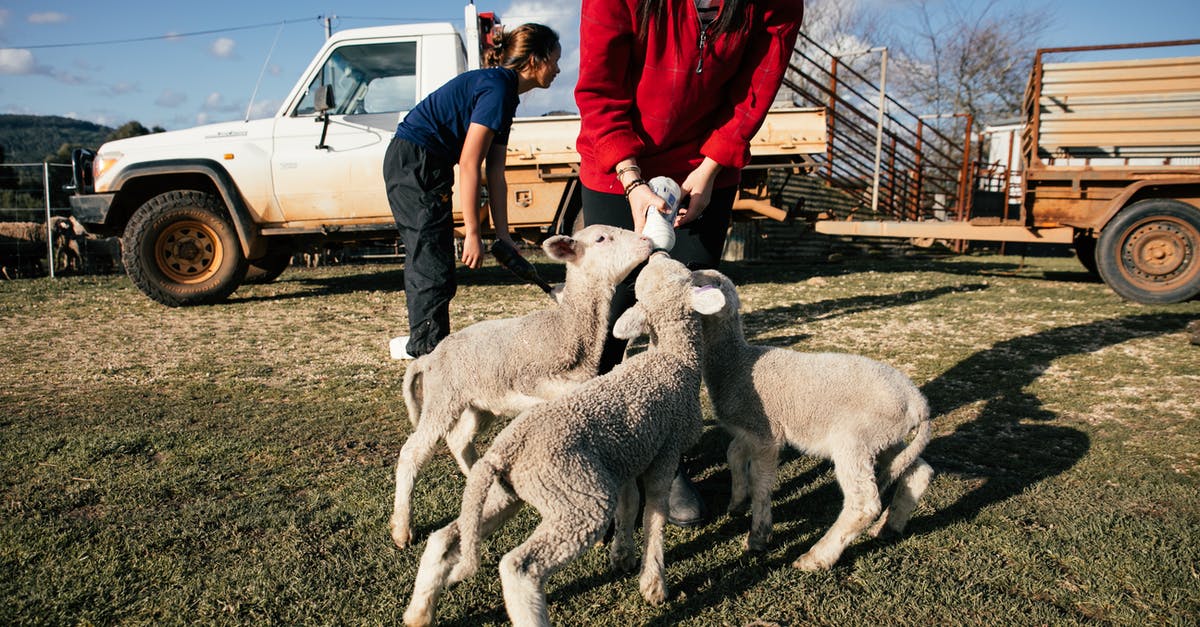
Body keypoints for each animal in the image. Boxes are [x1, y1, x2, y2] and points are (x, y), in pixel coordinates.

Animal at [388, 224, 652, 547]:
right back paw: (402, 529)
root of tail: (430, 357)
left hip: (479, 404)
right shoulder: (533, 378)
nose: (647, 241)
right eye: (602, 239)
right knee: (412, 452)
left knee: (459, 440)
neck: (567, 328)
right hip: (443, 397)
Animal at [400, 253, 720, 624]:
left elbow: (629, 505)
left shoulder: (626, 454)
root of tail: (505, 452)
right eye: (681, 274)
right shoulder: (665, 451)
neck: (672, 357)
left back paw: (418, 610)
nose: (658, 253)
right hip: (579, 497)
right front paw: (653, 583)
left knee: (444, 538)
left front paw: (622, 555)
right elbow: (654, 514)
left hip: (508, 493)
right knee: (518, 568)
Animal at [696, 265, 936, 569]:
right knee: (919, 471)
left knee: (863, 503)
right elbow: (733, 453)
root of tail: (918, 402)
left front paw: (757, 537)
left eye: (700, 281)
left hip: (854, 438)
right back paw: (889, 527)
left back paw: (816, 557)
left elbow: (761, 482)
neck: (736, 363)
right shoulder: (748, 428)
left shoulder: (766, 433)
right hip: (884, 437)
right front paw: (737, 502)